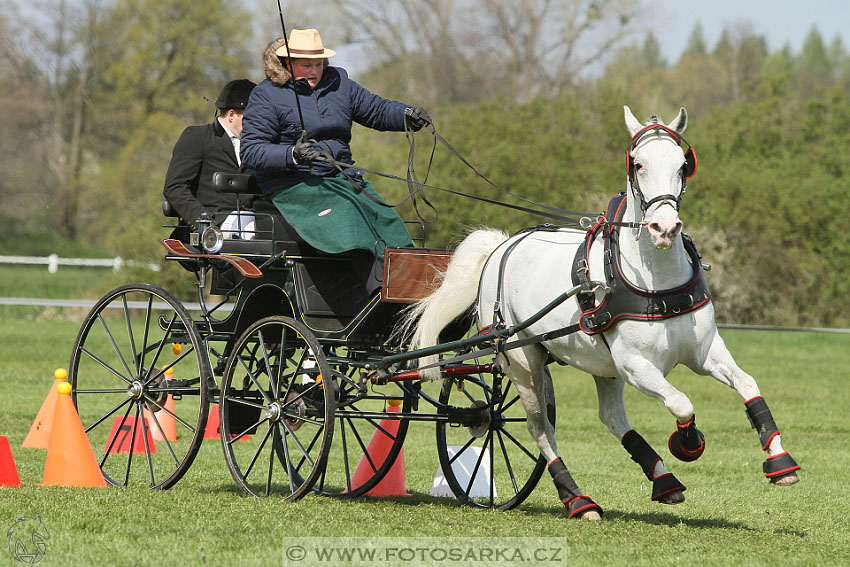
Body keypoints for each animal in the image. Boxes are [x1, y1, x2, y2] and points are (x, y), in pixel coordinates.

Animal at [404, 106, 796, 520]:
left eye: (682, 164)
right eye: (637, 163)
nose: (664, 228)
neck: (655, 281)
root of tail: (502, 246)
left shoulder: (705, 352)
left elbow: (748, 385)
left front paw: (780, 460)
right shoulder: (636, 365)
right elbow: (681, 402)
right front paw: (689, 442)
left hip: (600, 365)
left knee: (611, 417)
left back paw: (663, 480)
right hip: (523, 361)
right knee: (539, 427)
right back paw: (577, 499)